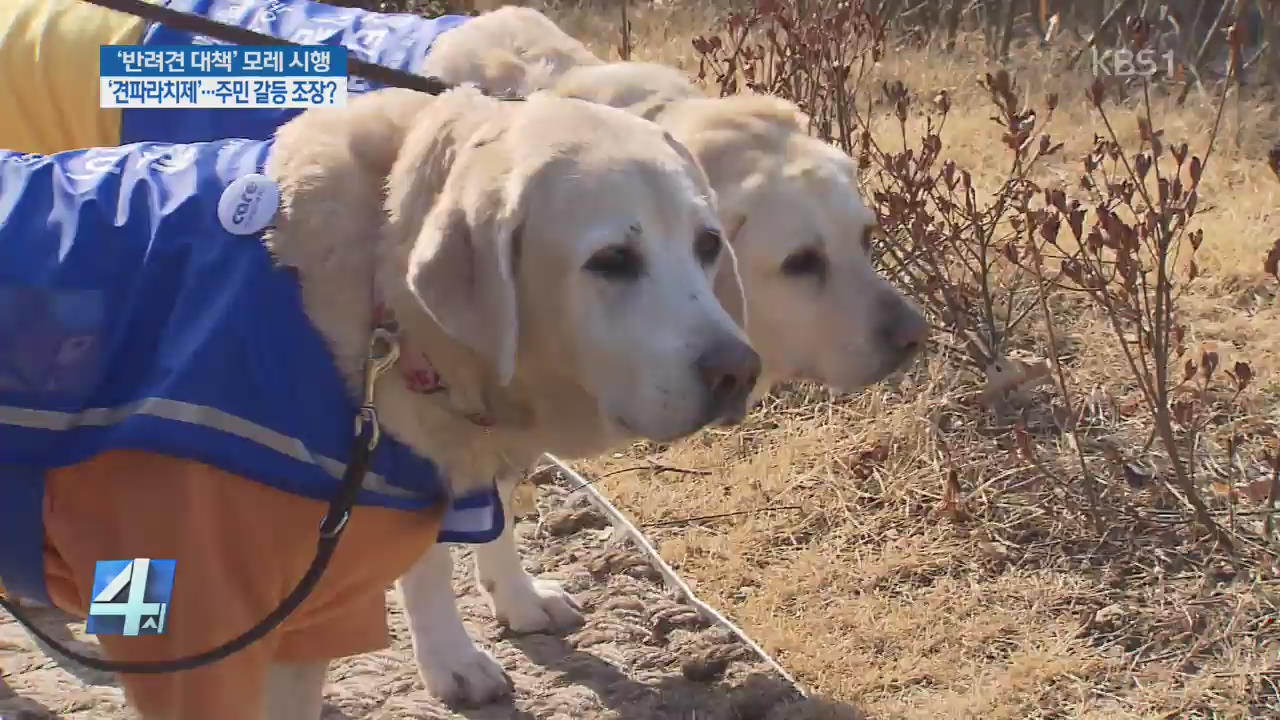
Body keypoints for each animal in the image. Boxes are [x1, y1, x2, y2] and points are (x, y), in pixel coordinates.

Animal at [394, 5, 926, 702]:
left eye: (865, 238)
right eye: (802, 262)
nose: (914, 337)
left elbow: (500, 506)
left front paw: (518, 599)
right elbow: (427, 552)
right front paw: (451, 660)